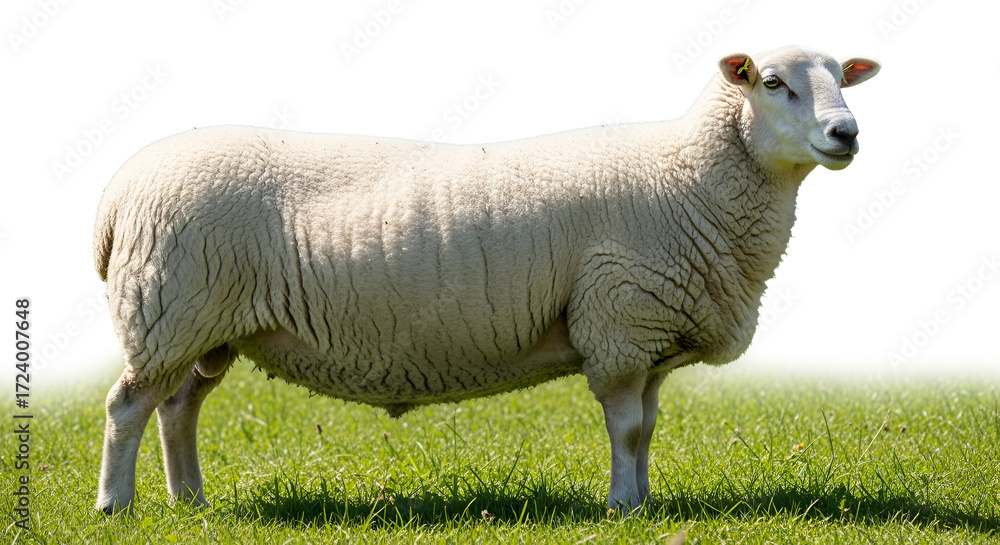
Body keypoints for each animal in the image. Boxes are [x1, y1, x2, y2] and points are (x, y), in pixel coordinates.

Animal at [94, 45, 879, 514]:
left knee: (178, 407)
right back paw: (117, 505)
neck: (691, 176)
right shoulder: (618, 322)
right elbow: (626, 428)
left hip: (206, 325)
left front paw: (646, 502)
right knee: (129, 406)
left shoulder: (649, 334)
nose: (847, 135)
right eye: (772, 83)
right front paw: (621, 507)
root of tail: (118, 194)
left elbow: (648, 430)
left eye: (844, 79)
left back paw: (190, 500)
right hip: (169, 308)